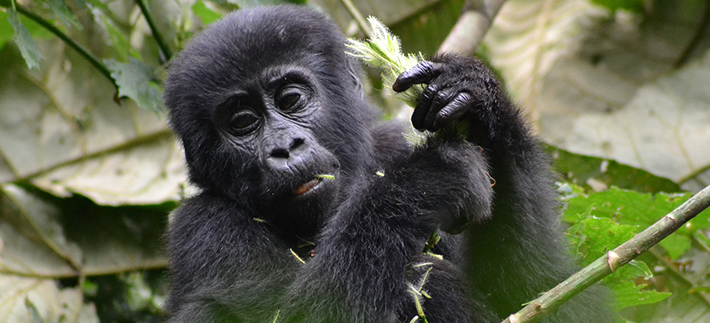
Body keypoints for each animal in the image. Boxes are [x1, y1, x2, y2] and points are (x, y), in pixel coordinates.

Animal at [164, 4, 616, 323]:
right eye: (243, 123)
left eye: (291, 99)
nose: (285, 148)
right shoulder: (202, 227)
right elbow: (301, 315)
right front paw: (426, 181)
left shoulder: (391, 143)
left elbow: (552, 295)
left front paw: (480, 101)